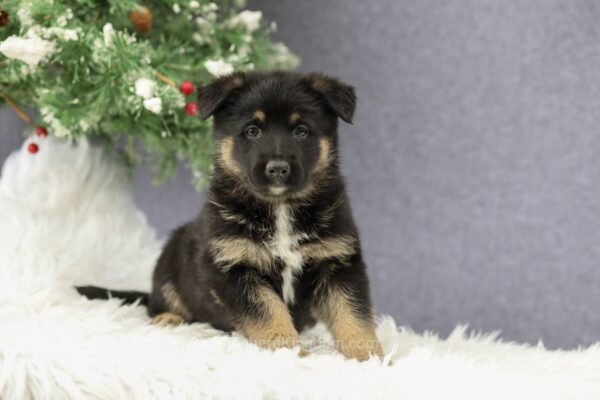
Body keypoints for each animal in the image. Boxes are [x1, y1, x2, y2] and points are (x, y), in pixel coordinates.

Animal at [78, 72, 384, 362]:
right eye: (252, 130)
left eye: (301, 130)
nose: (278, 168)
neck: (279, 207)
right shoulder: (233, 267)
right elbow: (269, 311)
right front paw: (288, 350)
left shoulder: (339, 263)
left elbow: (352, 314)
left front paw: (369, 357)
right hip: (169, 262)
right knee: (161, 300)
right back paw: (168, 318)